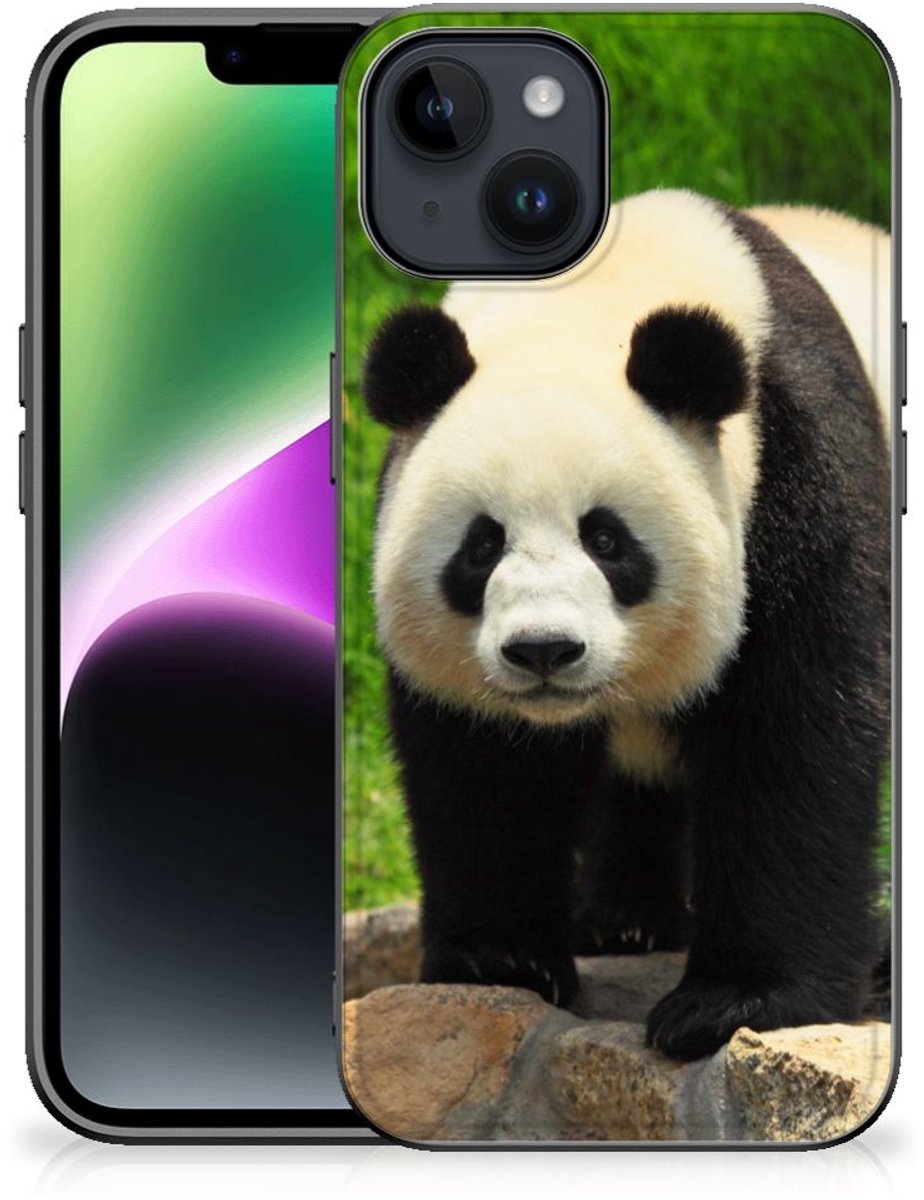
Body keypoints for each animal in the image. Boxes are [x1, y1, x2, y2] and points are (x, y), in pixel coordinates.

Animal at [361, 189, 891, 1061]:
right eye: (481, 545)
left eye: (606, 540)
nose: (543, 650)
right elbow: (485, 766)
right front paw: (500, 959)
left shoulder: (799, 474)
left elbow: (794, 735)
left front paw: (734, 1002)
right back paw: (624, 920)